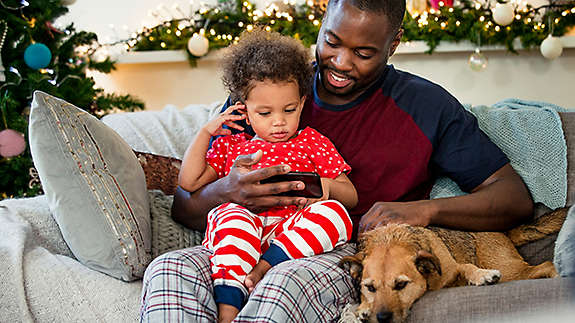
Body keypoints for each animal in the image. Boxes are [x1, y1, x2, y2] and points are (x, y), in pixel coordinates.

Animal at [340, 208, 568, 323]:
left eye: (401, 285)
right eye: (370, 288)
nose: (382, 318)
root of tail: (503, 231)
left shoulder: (452, 268)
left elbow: (466, 267)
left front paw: (482, 276)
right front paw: (363, 308)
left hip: (512, 272)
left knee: (545, 265)